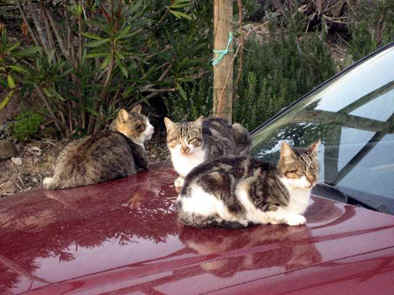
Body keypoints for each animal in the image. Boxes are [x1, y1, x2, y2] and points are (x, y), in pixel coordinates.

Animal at [175, 141, 320, 229]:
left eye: (314, 169)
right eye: (300, 171)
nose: (312, 180)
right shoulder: (245, 188)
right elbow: (278, 211)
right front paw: (293, 218)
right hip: (216, 182)